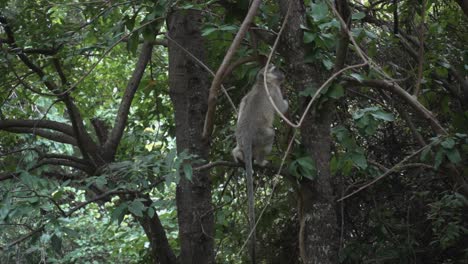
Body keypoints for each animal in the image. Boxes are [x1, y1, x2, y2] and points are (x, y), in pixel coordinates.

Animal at [231, 64, 288, 264]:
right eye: (275, 69)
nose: (283, 74)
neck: (261, 83)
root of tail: (247, 136)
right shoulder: (274, 91)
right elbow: (281, 109)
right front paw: (287, 102)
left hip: (241, 140)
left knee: (237, 148)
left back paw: (239, 156)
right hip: (261, 136)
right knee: (270, 134)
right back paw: (261, 161)